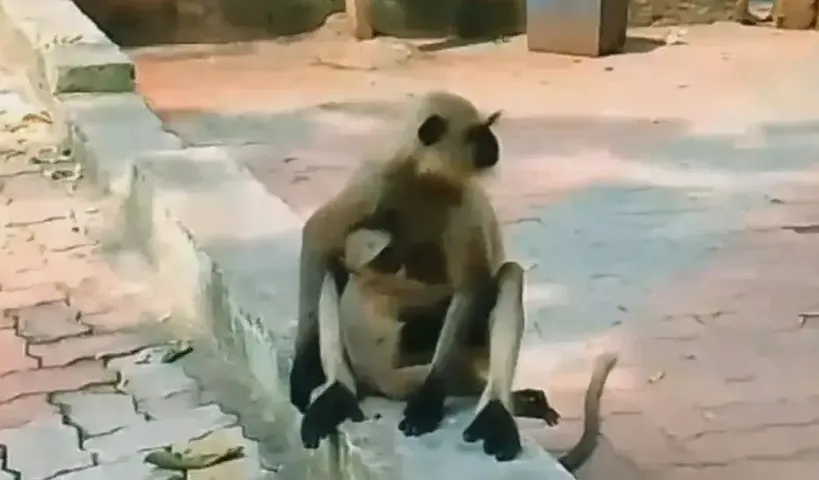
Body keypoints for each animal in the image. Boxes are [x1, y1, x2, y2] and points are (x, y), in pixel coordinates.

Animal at [289, 90, 618, 470]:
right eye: (477, 133)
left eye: (487, 129)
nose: (493, 144)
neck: (428, 180)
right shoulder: (376, 177)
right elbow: (318, 235)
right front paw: (302, 370)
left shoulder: (463, 201)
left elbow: (471, 286)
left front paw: (430, 398)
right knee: (335, 262)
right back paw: (338, 392)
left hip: (469, 351)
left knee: (508, 275)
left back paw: (496, 412)